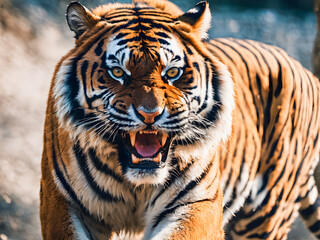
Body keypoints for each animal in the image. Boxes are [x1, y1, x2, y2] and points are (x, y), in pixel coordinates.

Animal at [40, 0, 320, 239]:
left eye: (172, 72)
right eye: (118, 72)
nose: (149, 114)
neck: (136, 185)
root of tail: (305, 71)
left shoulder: (198, 202)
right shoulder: (62, 201)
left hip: (266, 213)